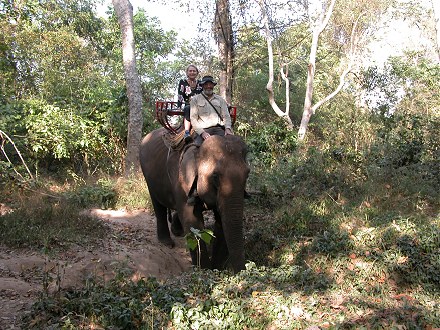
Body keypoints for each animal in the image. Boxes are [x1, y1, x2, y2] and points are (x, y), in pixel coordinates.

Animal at [139, 127, 249, 274]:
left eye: (247, 174)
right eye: (215, 176)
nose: (243, 272)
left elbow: (221, 220)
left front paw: (216, 270)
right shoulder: (182, 179)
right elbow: (192, 220)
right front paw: (204, 271)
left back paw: (177, 231)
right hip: (148, 174)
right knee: (158, 204)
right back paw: (167, 243)